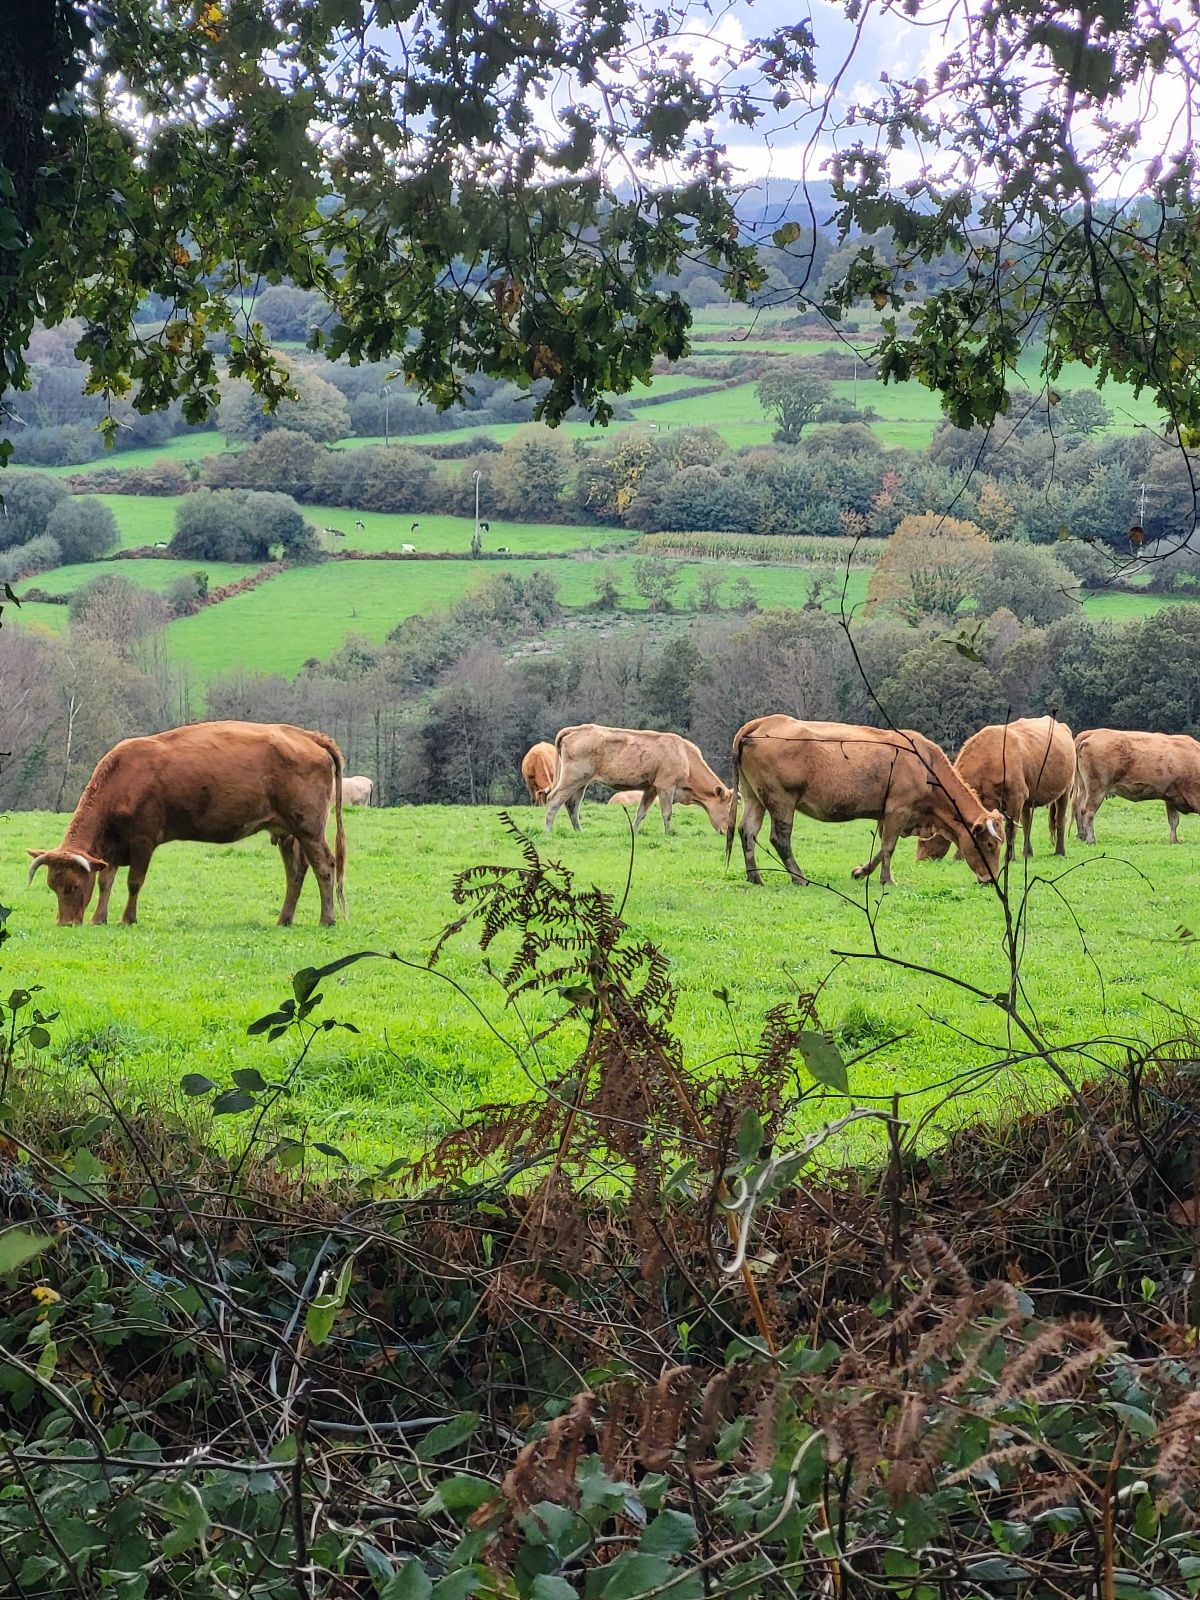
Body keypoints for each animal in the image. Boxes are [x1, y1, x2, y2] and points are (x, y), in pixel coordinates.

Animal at [27, 721, 347, 928]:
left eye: (72, 886)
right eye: (52, 886)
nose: (65, 923)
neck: (123, 776)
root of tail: (307, 735)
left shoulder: (143, 840)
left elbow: (134, 882)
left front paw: (127, 919)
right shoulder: (113, 846)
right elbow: (107, 881)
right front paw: (99, 918)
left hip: (309, 828)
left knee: (325, 866)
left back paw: (327, 919)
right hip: (287, 832)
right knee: (295, 872)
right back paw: (284, 919)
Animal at [544, 725, 732, 834]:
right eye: (729, 810)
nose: (726, 831)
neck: (684, 756)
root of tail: (577, 729)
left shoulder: (651, 788)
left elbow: (641, 812)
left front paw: (633, 832)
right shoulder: (666, 786)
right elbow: (667, 813)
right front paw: (668, 834)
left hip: (581, 782)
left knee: (572, 805)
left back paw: (579, 831)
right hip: (572, 778)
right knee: (554, 800)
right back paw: (548, 831)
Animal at [727, 716, 1005, 887]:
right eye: (989, 844)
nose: (991, 879)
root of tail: (763, 721)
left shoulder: (885, 812)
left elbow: (880, 848)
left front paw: (860, 872)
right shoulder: (898, 808)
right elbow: (888, 847)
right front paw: (886, 880)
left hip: (753, 796)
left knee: (747, 832)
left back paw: (755, 877)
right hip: (782, 798)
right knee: (780, 838)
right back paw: (799, 877)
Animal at [915, 716, 1075, 864]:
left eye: (927, 834)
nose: (920, 859)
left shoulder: (1016, 797)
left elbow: (1010, 828)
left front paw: (1008, 858)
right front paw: (960, 856)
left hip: (1066, 789)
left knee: (1060, 819)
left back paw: (1060, 852)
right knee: (1027, 822)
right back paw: (1027, 853)